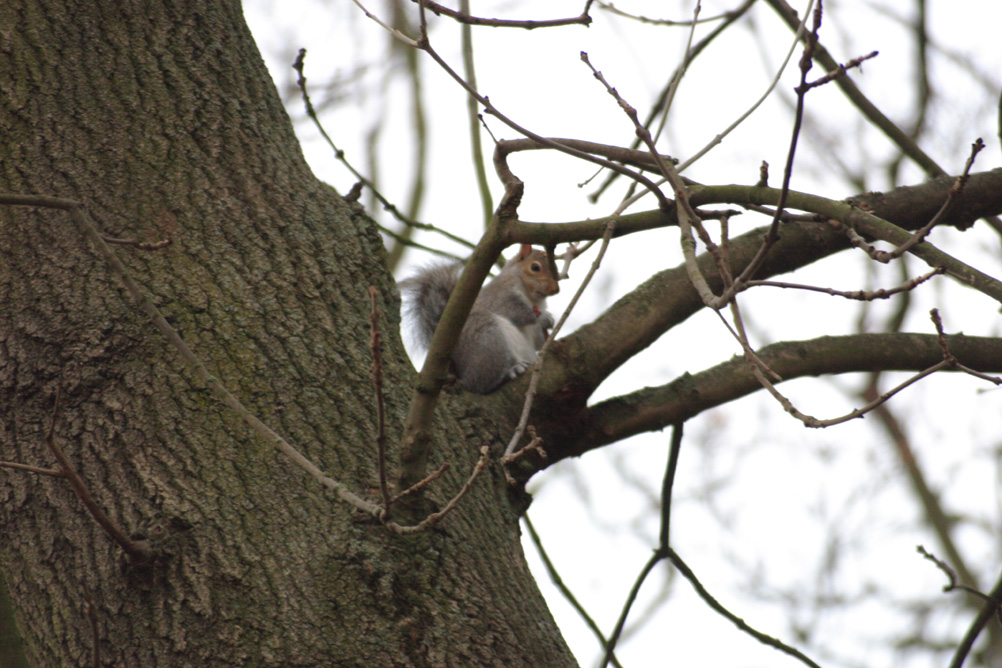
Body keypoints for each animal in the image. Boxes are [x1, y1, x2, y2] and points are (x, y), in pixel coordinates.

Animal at [401, 244, 560, 394]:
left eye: (556, 269)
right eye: (535, 267)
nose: (555, 289)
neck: (532, 297)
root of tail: (460, 374)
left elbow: (538, 340)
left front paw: (549, 334)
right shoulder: (500, 295)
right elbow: (515, 312)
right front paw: (543, 317)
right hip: (489, 340)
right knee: (481, 383)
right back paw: (512, 370)